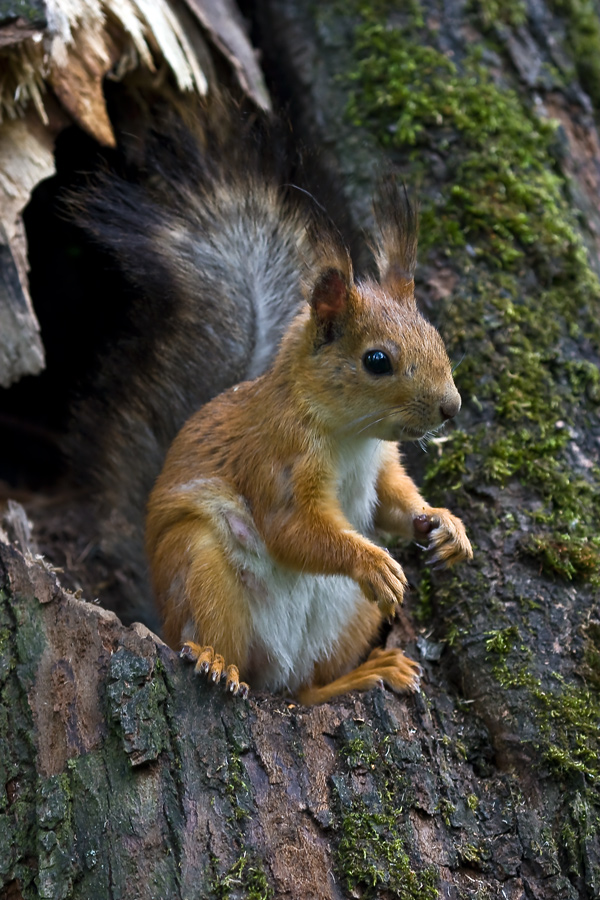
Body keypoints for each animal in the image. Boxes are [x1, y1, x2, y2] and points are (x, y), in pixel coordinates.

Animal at [143, 171, 472, 704]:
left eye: (436, 337)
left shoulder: (381, 465)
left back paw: (369, 673)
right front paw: (372, 562)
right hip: (200, 569)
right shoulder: (279, 455)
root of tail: (276, 670)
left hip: (352, 616)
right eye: (377, 360)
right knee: (228, 647)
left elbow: (394, 502)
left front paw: (445, 525)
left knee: (307, 691)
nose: (452, 407)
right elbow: (291, 529)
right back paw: (217, 661)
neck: (351, 436)